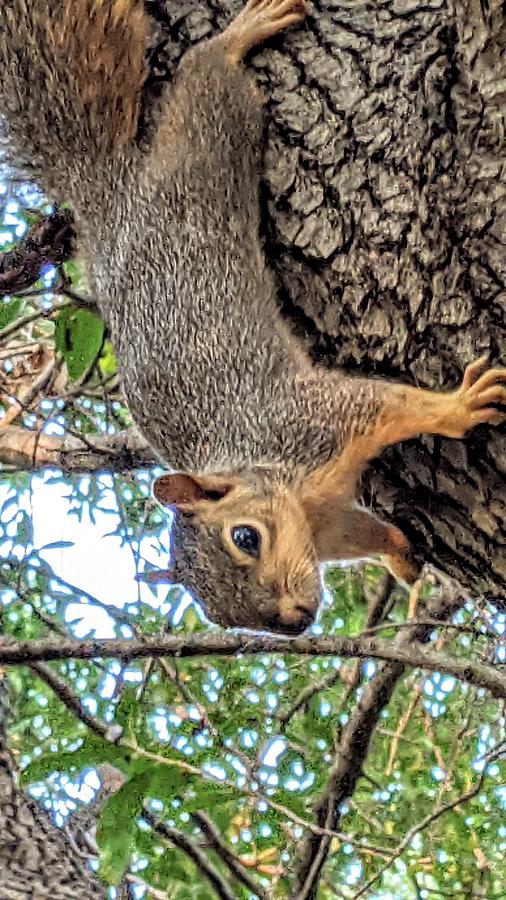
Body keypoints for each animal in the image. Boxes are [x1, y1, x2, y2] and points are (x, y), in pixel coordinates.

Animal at [0, 0, 506, 632]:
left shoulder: (314, 419)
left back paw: (236, 36)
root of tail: (106, 202)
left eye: (245, 537)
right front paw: (399, 555)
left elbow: (390, 404)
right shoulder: (325, 522)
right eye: (223, 618)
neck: (275, 473)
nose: (293, 620)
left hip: (206, 148)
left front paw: (460, 406)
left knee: (207, 78)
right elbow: (363, 533)